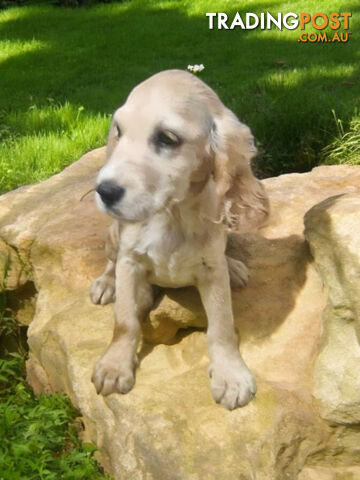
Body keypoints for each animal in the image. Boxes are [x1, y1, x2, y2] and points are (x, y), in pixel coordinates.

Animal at [91, 70, 268, 408]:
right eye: (119, 131)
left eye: (167, 138)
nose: (104, 191)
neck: (170, 215)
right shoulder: (129, 262)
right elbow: (124, 322)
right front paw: (114, 365)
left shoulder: (211, 271)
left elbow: (222, 326)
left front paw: (230, 374)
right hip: (112, 235)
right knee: (110, 261)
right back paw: (107, 283)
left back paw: (234, 266)